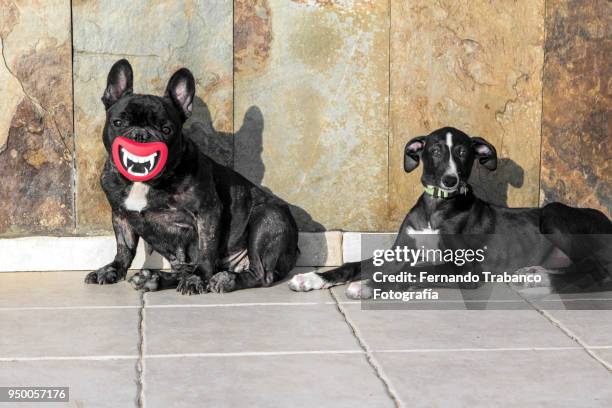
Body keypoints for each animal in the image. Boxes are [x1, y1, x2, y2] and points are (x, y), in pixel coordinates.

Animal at [84, 59, 298, 294]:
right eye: (118, 123)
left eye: (166, 129)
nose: (141, 134)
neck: (146, 183)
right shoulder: (120, 215)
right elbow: (124, 247)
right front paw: (112, 270)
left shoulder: (207, 212)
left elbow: (205, 251)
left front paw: (198, 279)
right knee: (184, 269)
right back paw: (153, 278)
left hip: (268, 220)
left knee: (260, 273)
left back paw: (224, 280)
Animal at [288, 126, 612, 298]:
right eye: (434, 151)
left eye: (463, 153)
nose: (450, 180)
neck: (437, 208)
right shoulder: (398, 252)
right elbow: (352, 264)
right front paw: (313, 278)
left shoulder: (466, 268)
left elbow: (416, 271)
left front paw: (367, 285)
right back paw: (535, 275)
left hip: (554, 213)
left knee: (598, 273)